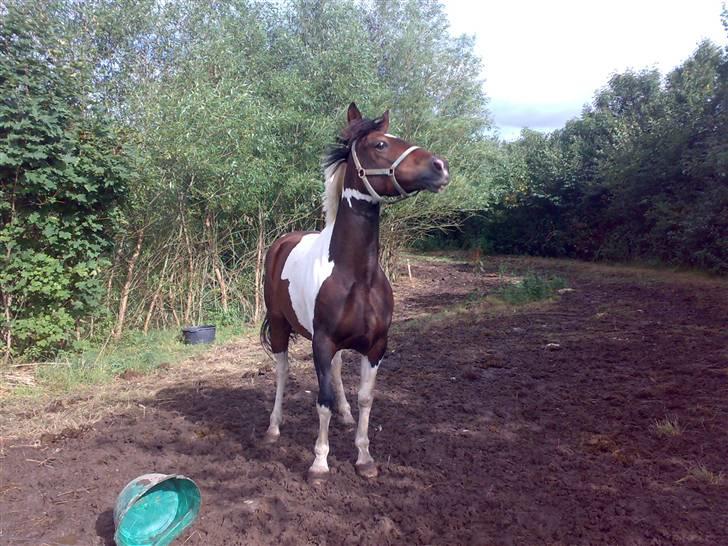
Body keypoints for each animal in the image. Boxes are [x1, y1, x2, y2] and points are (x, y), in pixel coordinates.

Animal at [256, 101, 450, 480]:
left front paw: (364, 457)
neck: (356, 275)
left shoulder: (375, 346)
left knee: (335, 371)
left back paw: (345, 418)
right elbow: (322, 399)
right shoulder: (321, 341)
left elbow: (365, 398)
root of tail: (283, 242)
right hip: (281, 325)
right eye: (379, 144)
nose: (440, 167)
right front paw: (319, 463)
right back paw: (272, 429)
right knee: (283, 371)